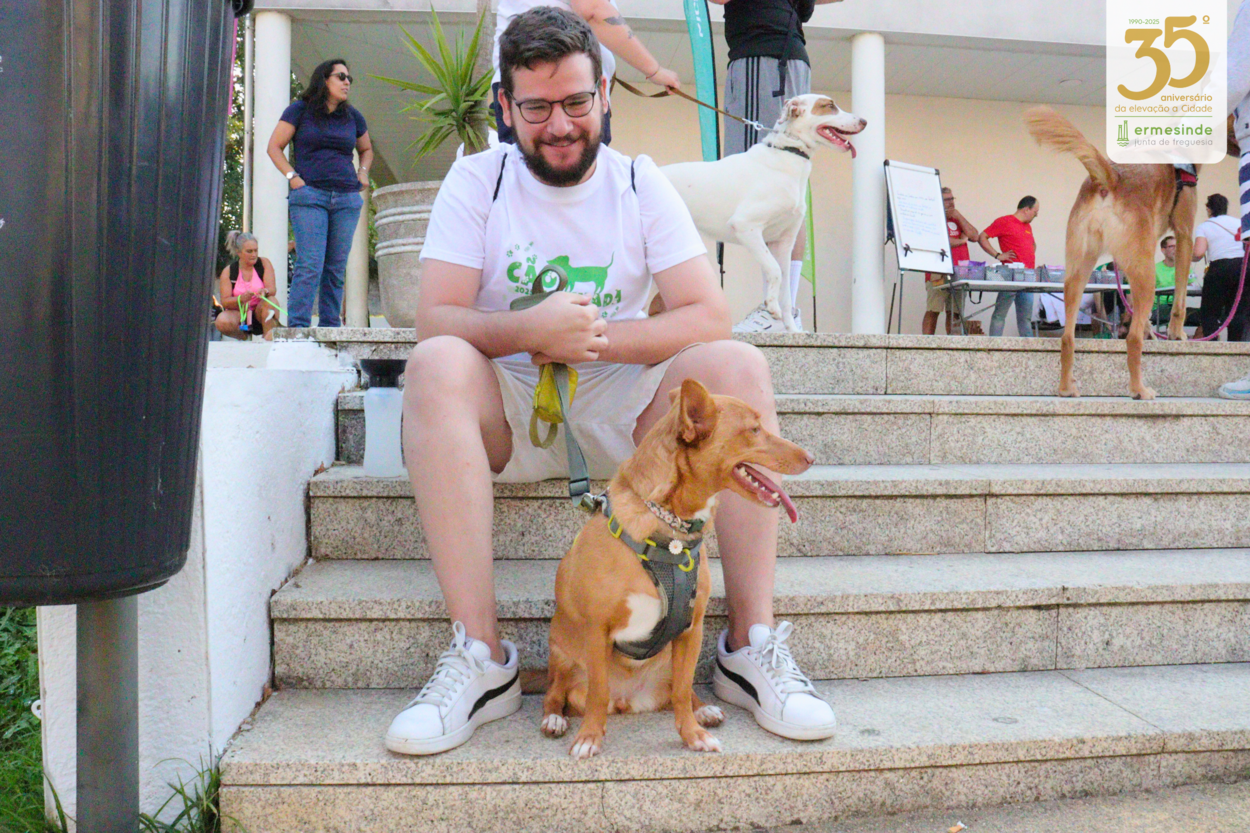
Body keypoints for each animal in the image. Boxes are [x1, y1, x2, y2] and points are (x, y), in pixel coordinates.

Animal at [541, 379, 813, 759]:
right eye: (754, 430)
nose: (811, 458)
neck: (669, 529)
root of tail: (629, 699)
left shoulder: (691, 629)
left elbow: (682, 692)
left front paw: (692, 734)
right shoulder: (596, 630)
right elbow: (597, 691)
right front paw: (590, 736)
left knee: (677, 691)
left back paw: (704, 711)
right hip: (561, 650)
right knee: (556, 691)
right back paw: (554, 719)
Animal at [662, 95, 866, 332]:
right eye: (829, 105)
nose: (864, 121)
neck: (789, 152)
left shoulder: (784, 242)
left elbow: (786, 292)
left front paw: (791, 329)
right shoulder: (746, 226)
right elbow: (774, 271)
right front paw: (771, 306)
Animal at [1024, 106, 1199, 400]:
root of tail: (1110, 176)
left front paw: (1154, 328)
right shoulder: (1185, 233)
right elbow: (1180, 297)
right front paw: (1176, 333)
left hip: (1078, 271)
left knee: (1068, 337)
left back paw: (1066, 388)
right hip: (1145, 275)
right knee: (1132, 339)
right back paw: (1139, 390)